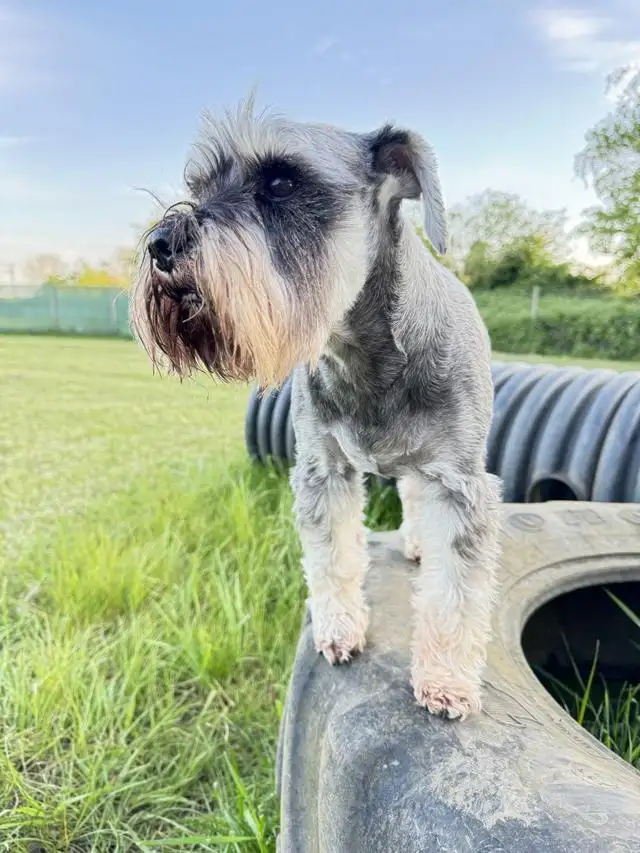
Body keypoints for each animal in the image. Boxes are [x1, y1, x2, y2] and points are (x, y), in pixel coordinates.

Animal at [129, 98, 500, 720]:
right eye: (198, 185)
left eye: (282, 181)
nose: (159, 244)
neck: (362, 352)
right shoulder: (323, 472)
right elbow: (333, 558)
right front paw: (339, 629)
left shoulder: (459, 482)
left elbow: (454, 591)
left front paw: (446, 678)